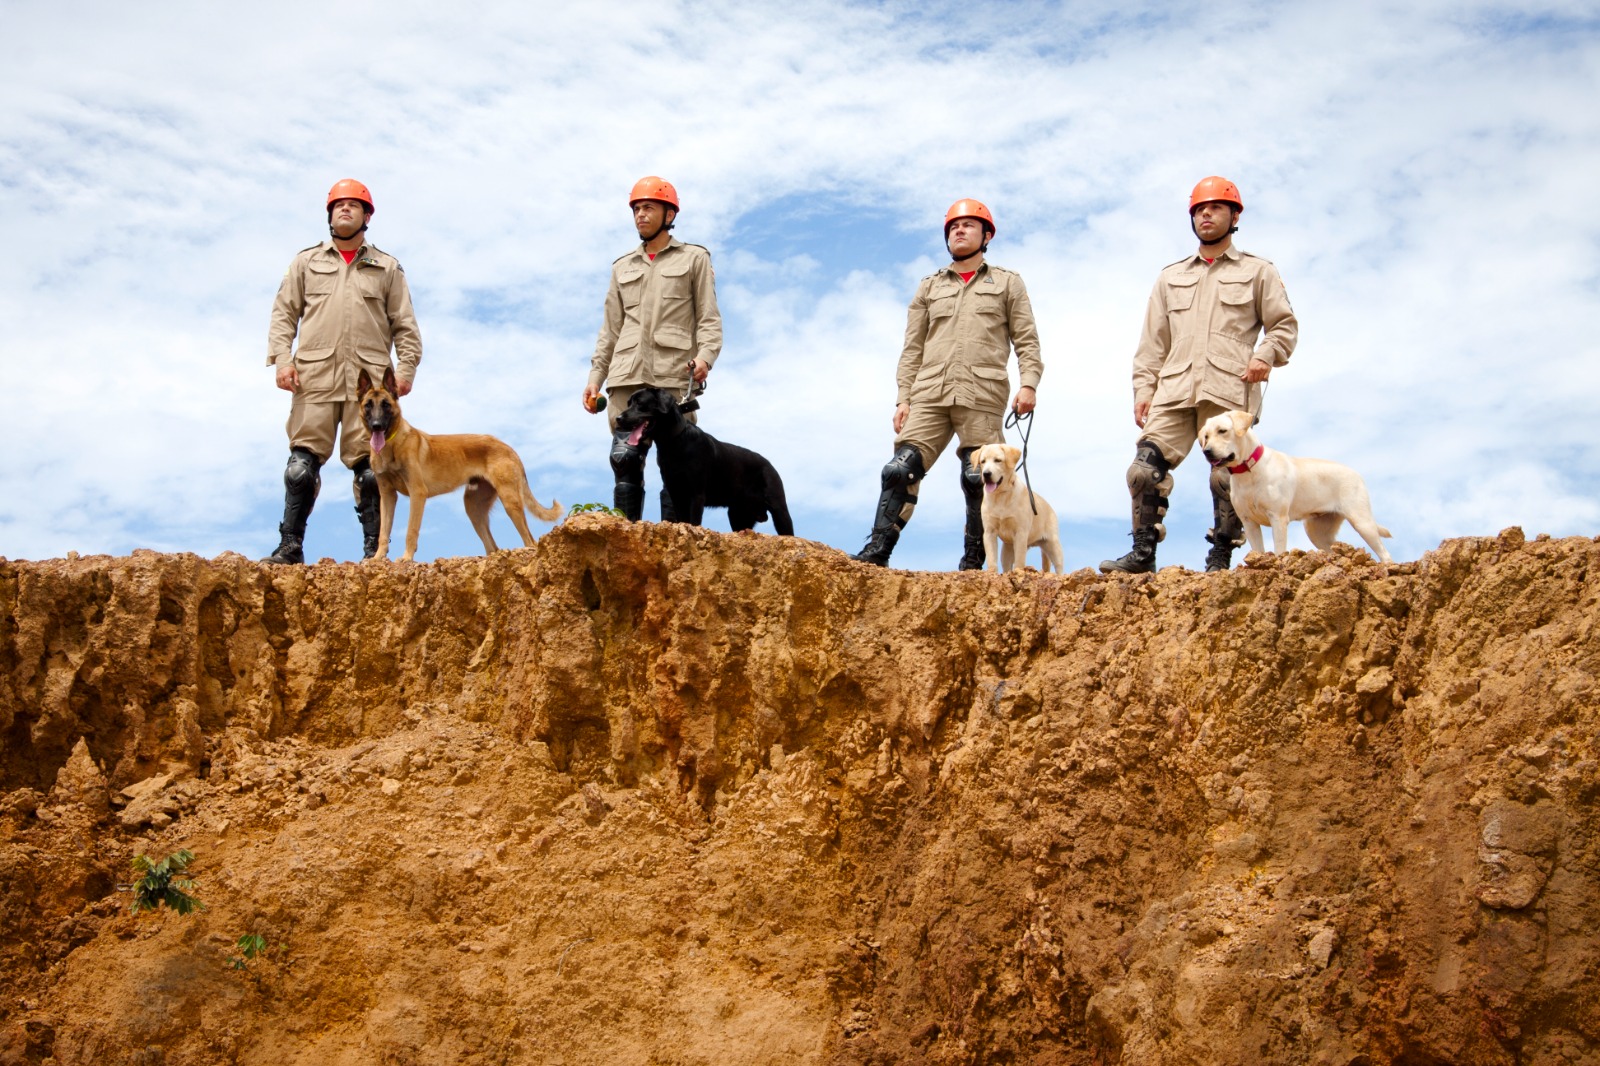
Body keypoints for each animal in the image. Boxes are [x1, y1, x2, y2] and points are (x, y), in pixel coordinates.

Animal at [356, 368, 563, 557]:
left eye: (386, 405)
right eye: (368, 405)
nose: (376, 426)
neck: (391, 444)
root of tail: (509, 448)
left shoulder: (417, 493)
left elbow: (411, 531)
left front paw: (406, 559)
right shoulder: (387, 495)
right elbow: (384, 532)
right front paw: (377, 558)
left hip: (510, 501)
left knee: (530, 539)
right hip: (473, 508)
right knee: (493, 547)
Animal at [611, 384, 793, 534]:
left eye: (640, 403)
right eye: (628, 403)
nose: (618, 418)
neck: (673, 442)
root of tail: (769, 464)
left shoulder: (696, 494)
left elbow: (694, 521)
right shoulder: (676, 493)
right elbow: (682, 519)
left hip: (779, 510)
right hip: (737, 515)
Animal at [972, 438, 1062, 573]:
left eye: (998, 460)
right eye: (982, 461)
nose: (986, 474)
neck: (1001, 496)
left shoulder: (1021, 532)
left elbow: (1019, 561)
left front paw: (1018, 572)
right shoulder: (989, 532)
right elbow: (992, 559)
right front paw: (992, 573)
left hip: (1052, 543)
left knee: (1059, 566)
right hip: (1007, 548)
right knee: (1006, 565)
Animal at [1196, 406, 1395, 560]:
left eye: (1222, 431)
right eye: (1206, 436)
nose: (1207, 451)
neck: (1248, 472)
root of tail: (1356, 473)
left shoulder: (1278, 518)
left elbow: (1279, 549)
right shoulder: (1249, 522)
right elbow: (1258, 550)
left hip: (1362, 521)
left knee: (1384, 554)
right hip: (1317, 532)